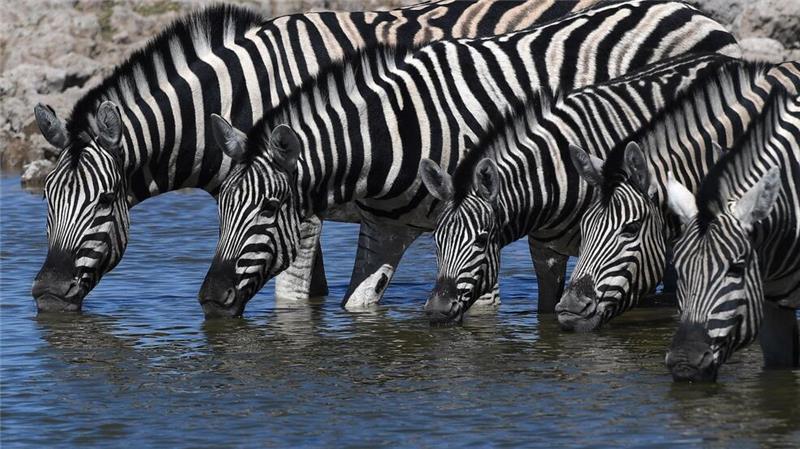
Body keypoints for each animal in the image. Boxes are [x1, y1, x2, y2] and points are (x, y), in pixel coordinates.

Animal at [29, 0, 609, 314]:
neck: (246, 96)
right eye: (47, 200)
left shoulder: (299, 205)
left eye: (106, 200)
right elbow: (313, 290)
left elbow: (290, 296)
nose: (46, 295)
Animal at [417, 53, 733, 323]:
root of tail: (723, 57)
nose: (437, 310)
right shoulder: (544, 252)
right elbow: (546, 310)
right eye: (436, 240)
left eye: (482, 240)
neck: (551, 175)